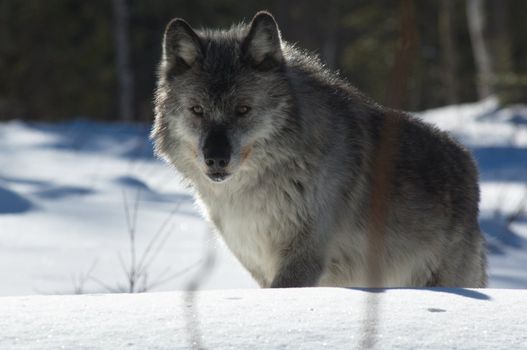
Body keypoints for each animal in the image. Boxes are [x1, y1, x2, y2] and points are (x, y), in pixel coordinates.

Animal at [152, 12, 486, 288]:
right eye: (197, 110)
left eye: (243, 109)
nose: (215, 159)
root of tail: (469, 163)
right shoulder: (258, 265)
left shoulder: (304, 258)